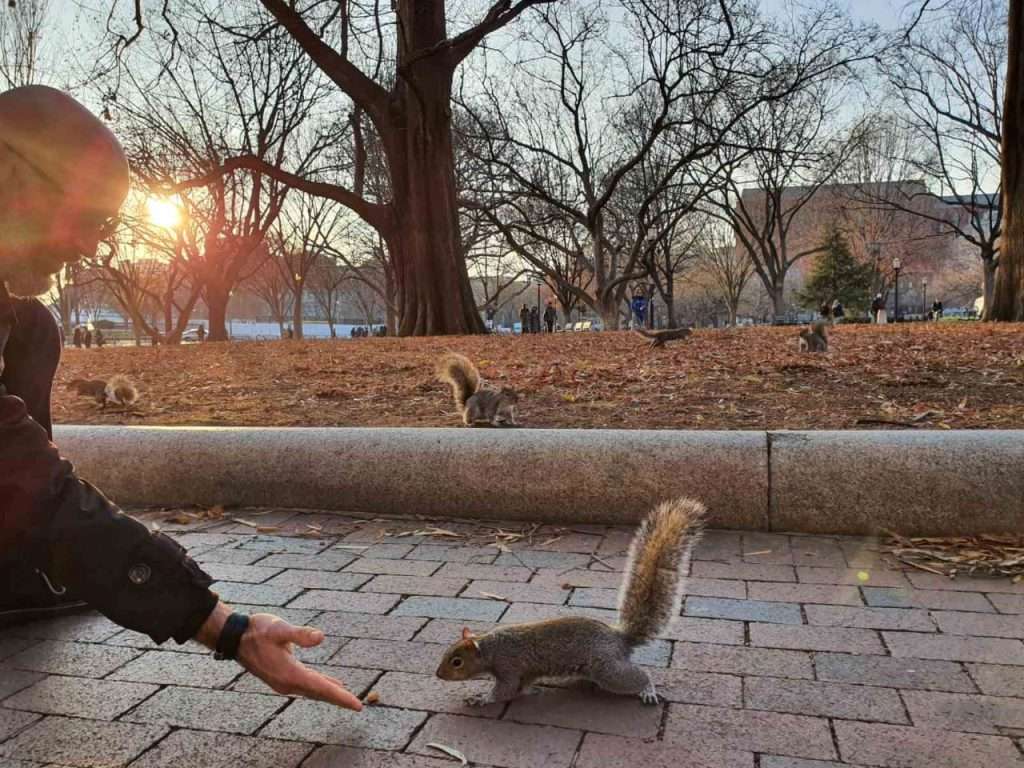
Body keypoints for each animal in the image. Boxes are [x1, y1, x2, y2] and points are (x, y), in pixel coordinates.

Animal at [432, 495, 704, 708]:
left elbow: (505, 690)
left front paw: (480, 699)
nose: (438, 674)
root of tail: (619, 639)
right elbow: (522, 686)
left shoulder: (509, 666)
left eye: (457, 662)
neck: (491, 647)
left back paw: (647, 689)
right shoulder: (524, 671)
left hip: (607, 669)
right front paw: (529, 692)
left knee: (636, 675)